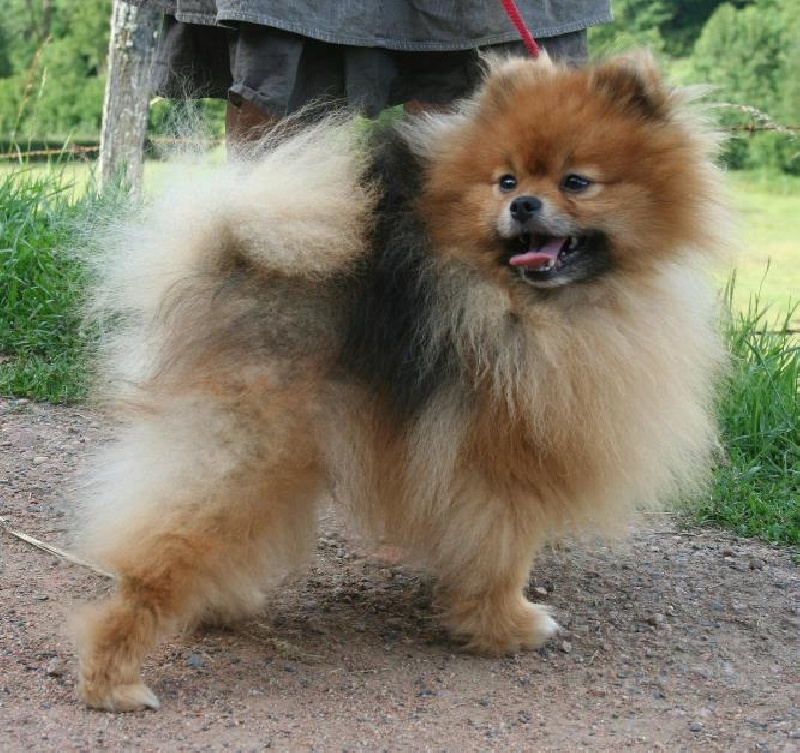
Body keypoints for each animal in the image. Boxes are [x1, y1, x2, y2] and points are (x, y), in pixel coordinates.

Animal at [73, 50, 724, 708]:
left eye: (575, 182)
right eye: (507, 181)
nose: (522, 207)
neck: (533, 305)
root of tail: (223, 261)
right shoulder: (498, 463)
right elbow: (504, 553)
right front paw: (508, 626)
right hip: (244, 450)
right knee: (160, 554)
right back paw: (113, 680)